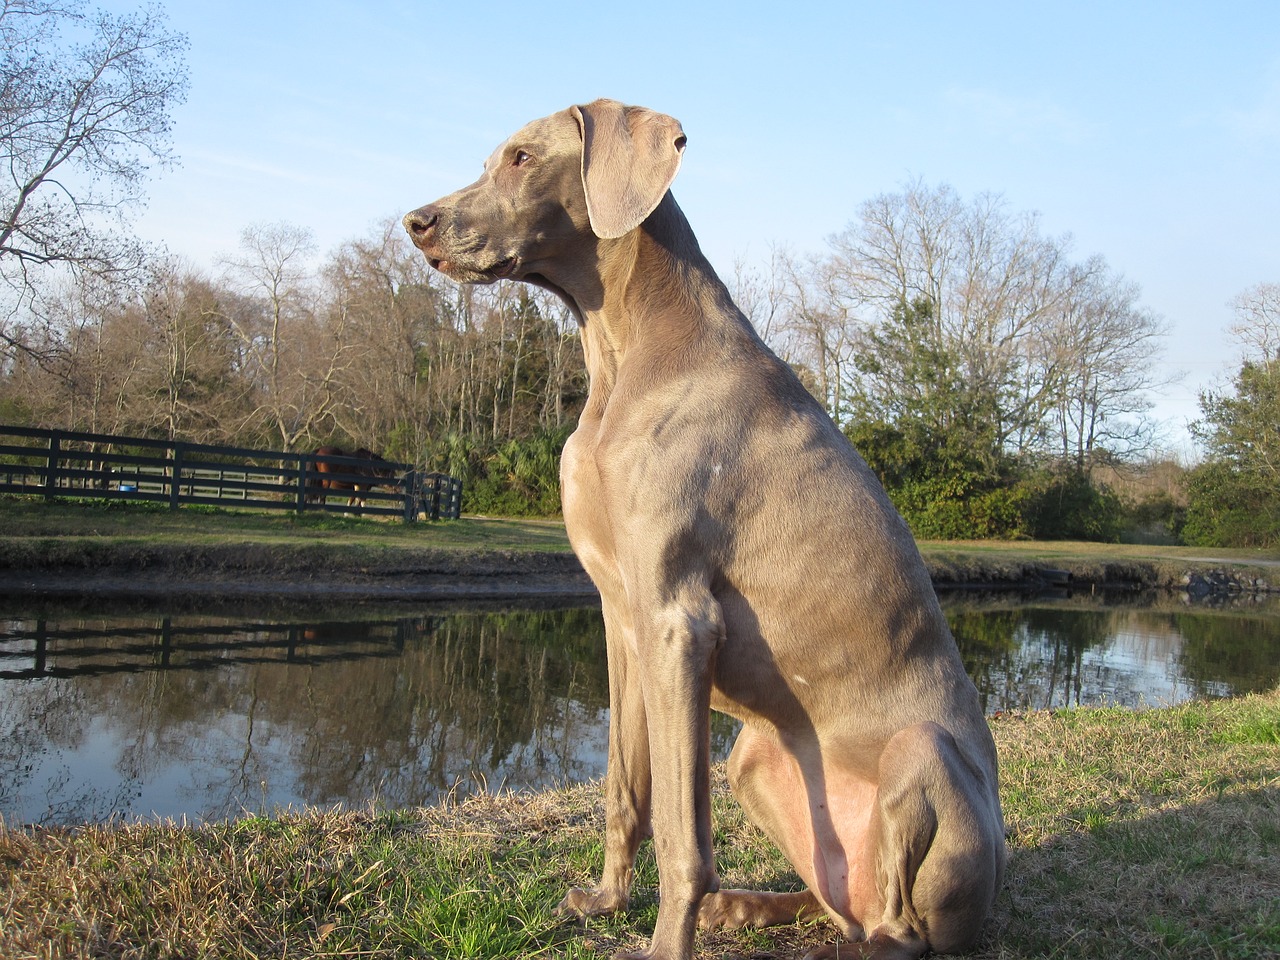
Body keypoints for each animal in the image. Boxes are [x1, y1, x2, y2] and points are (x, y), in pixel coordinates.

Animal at [404, 97, 1003, 960]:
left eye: (521, 157)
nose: (416, 222)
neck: (624, 351)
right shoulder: (621, 617)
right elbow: (626, 787)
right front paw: (606, 900)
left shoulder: (677, 620)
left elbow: (684, 836)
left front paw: (662, 942)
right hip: (755, 755)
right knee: (832, 899)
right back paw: (748, 908)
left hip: (924, 753)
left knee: (897, 926)